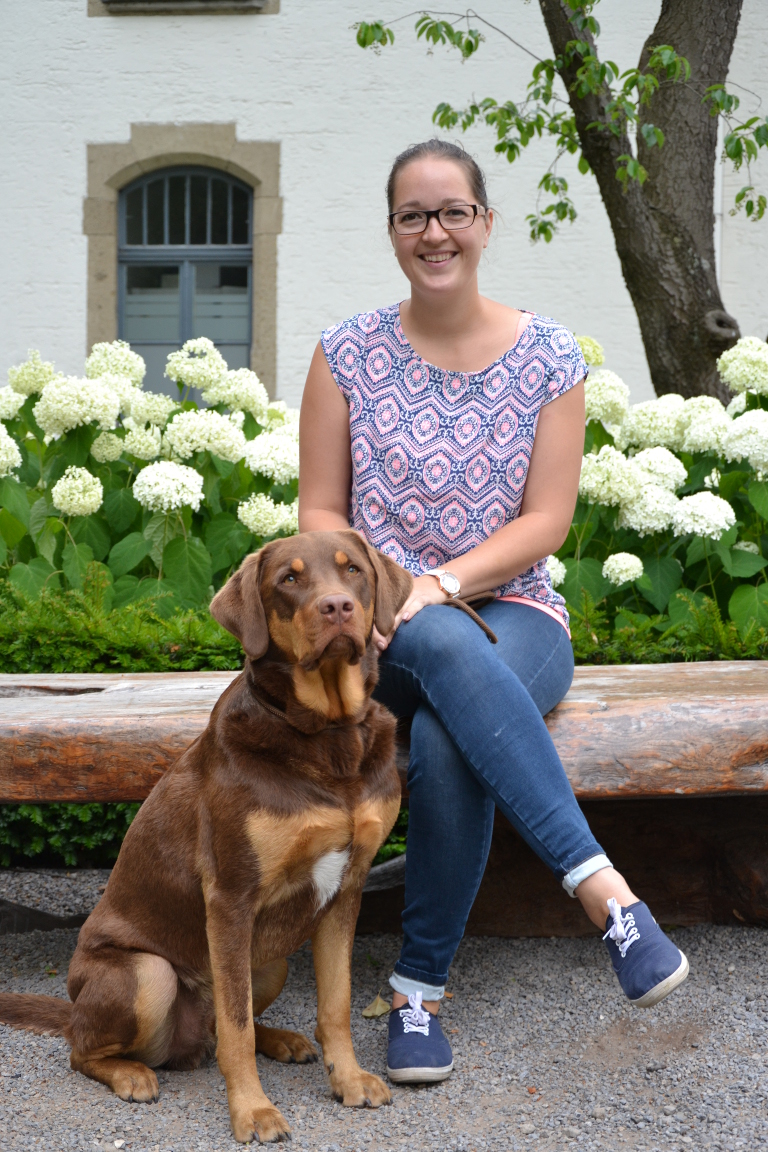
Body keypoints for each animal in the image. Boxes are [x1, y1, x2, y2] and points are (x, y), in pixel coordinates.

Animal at [0, 529, 414, 1142]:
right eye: (289, 579)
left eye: (353, 570)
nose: (337, 606)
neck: (327, 736)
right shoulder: (231, 898)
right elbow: (237, 1028)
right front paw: (254, 1111)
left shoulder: (346, 890)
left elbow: (334, 1005)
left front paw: (350, 1079)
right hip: (149, 974)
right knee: (89, 1047)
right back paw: (130, 1073)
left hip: (271, 960)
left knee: (222, 1022)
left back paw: (282, 1040)